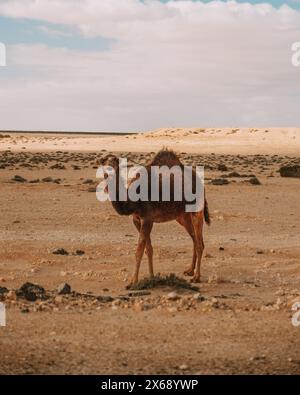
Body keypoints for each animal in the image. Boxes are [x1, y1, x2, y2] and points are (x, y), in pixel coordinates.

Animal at [99, 149, 210, 288]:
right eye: (104, 163)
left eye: (114, 162)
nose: (108, 173)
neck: (132, 202)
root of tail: (201, 183)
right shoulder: (137, 219)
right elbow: (148, 249)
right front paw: (151, 277)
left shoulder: (147, 219)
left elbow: (139, 250)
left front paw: (133, 281)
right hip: (183, 216)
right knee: (195, 239)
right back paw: (190, 270)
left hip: (196, 210)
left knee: (200, 243)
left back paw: (196, 277)